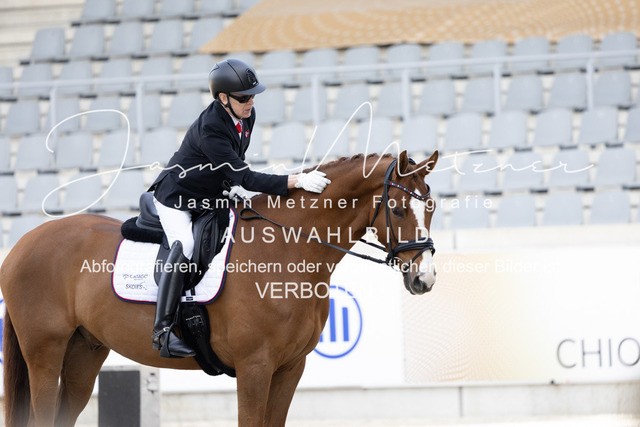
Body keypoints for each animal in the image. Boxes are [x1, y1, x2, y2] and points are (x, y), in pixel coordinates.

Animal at [1, 150, 438, 426]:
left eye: (430, 207)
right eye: (398, 208)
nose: (425, 279)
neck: (288, 249)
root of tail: (23, 242)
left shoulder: (290, 368)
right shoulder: (254, 367)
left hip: (83, 351)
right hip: (45, 351)